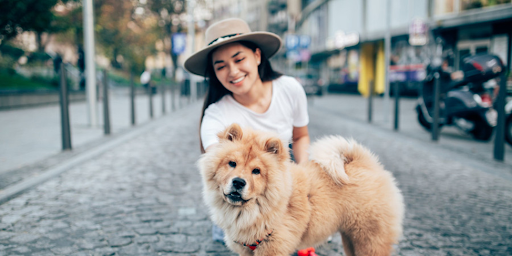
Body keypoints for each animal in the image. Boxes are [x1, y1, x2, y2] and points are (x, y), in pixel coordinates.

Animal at [199, 123, 404, 255]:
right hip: (350, 237)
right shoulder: (246, 249)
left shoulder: (273, 248)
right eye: (232, 164)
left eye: (256, 171)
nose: (239, 182)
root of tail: (367, 165)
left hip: (369, 238)